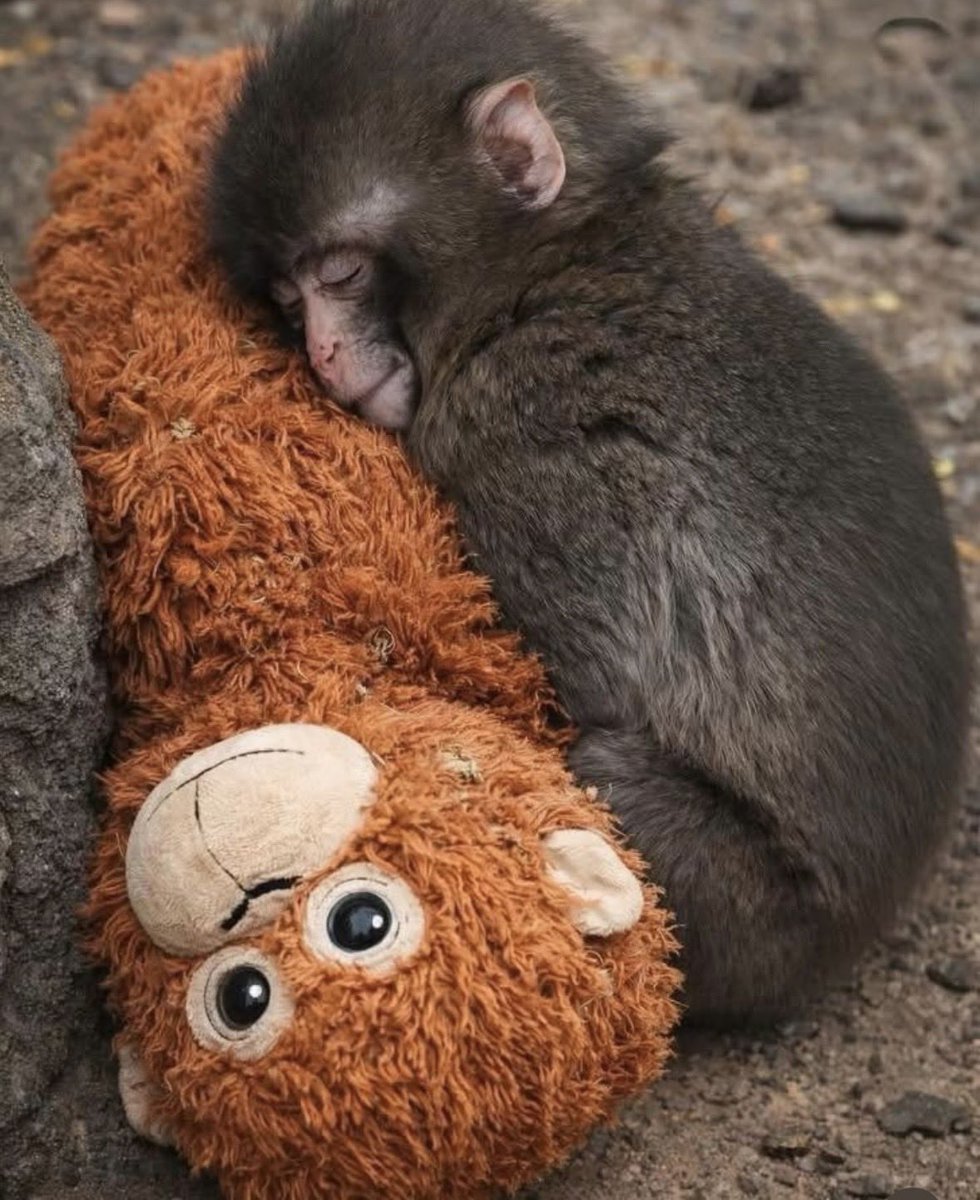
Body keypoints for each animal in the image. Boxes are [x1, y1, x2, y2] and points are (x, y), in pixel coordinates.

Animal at [206, 0, 971, 1025]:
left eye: (341, 273)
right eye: (290, 299)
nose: (323, 356)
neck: (547, 269)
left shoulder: (530, 441)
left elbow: (584, 684)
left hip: (746, 908)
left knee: (606, 779)